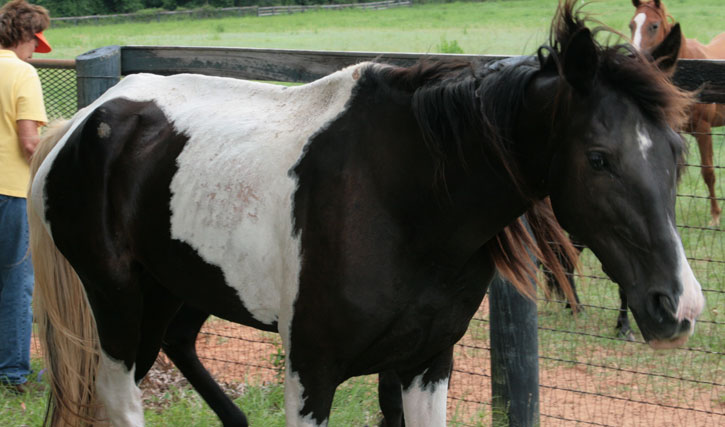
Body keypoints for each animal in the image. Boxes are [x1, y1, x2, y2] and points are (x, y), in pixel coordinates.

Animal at [29, 1, 705, 425]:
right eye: (599, 158)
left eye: (677, 151)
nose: (679, 307)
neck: (402, 201)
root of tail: (84, 123)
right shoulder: (311, 374)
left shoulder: (426, 365)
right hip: (117, 301)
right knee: (119, 398)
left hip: (177, 290)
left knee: (175, 345)